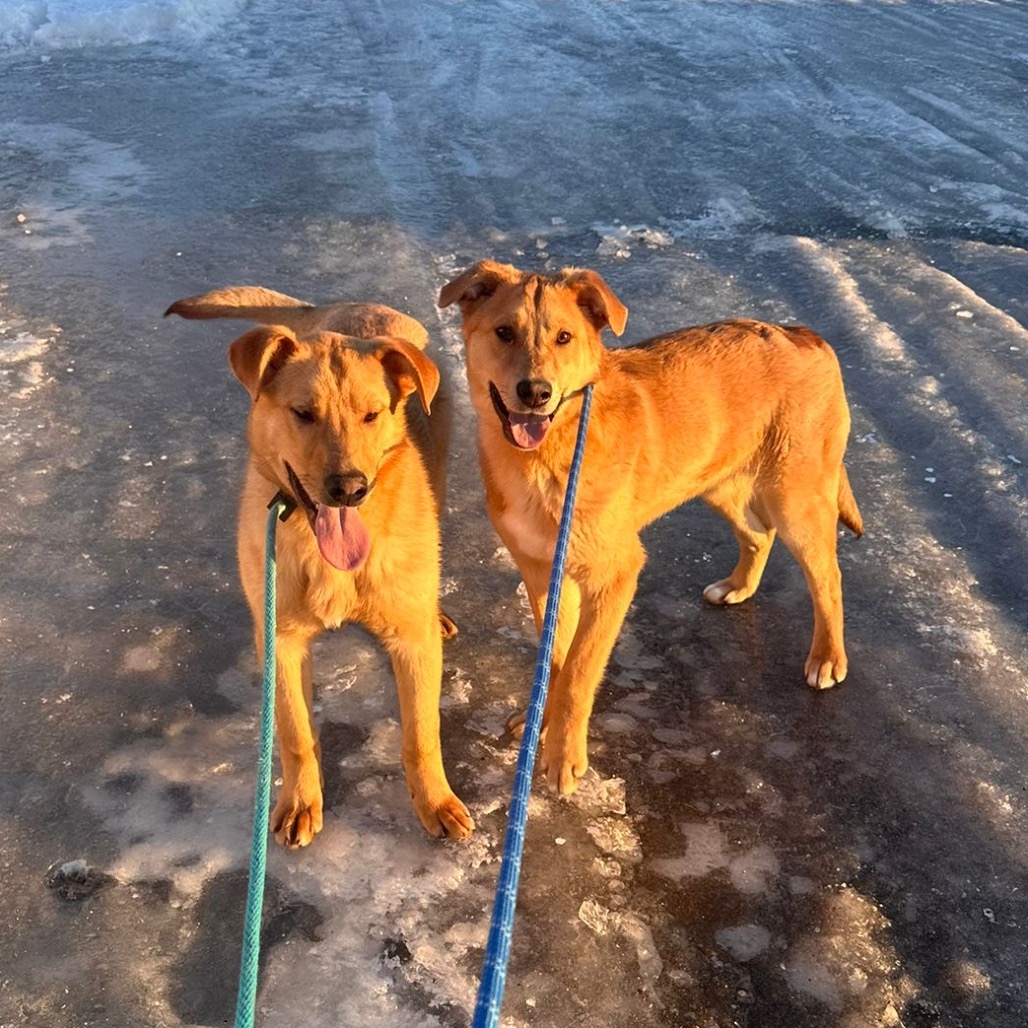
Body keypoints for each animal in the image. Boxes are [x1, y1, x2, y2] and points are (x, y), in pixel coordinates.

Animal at [166, 286, 474, 846]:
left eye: (372, 415)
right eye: (303, 413)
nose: (350, 487)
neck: (331, 558)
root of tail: (350, 307)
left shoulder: (412, 645)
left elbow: (422, 733)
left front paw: (434, 801)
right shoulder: (281, 643)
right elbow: (295, 734)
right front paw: (299, 802)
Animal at [439, 262, 862, 796]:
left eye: (564, 337)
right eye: (503, 332)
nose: (535, 393)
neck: (547, 457)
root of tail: (801, 333)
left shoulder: (616, 576)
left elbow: (580, 668)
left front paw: (564, 756)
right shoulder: (541, 572)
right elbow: (555, 657)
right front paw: (542, 722)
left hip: (797, 499)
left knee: (828, 576)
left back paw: (827, 656)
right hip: (717, 480)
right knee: (757, 533)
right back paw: (738, 587)